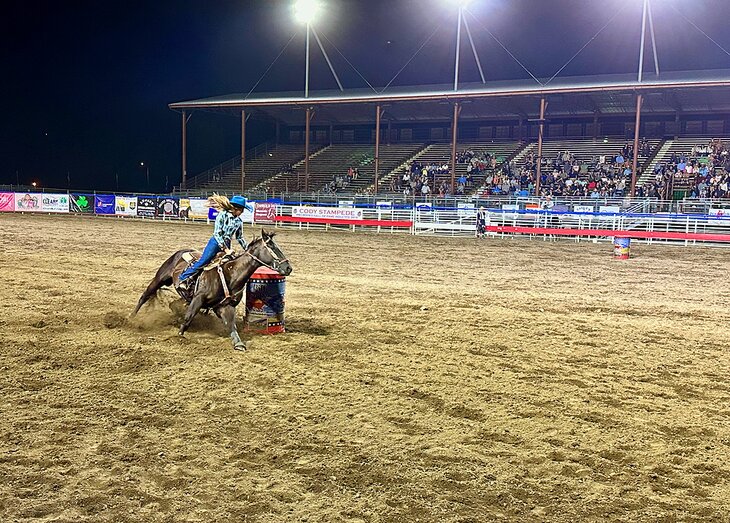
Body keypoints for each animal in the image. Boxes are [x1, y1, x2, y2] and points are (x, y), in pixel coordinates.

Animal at [132, 229, 292, 352]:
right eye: (271, 246)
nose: (288, 268)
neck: (230, 274)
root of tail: (181, 251)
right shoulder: (198, 298)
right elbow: (188, 317)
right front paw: (179, 336)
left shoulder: (225, 306)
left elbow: (231, 325)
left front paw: (239, 343)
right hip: (159, 278)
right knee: (144, 296)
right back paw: (131, 318)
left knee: (173, 303)